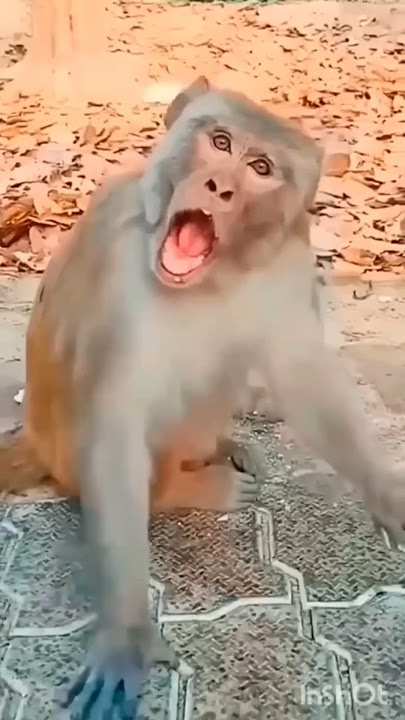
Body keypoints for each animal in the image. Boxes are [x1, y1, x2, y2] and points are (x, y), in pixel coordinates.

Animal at [1, 79, 405, 720]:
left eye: (260, 168)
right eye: (220, 143)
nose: (221, 187)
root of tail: (37, 442)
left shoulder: (288, 262)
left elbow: (301, 373)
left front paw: (384, 490)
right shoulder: (118, 264)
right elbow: (117, 425)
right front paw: (127, 635)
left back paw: (225, 445)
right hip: (73, 455)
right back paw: (187, 488)